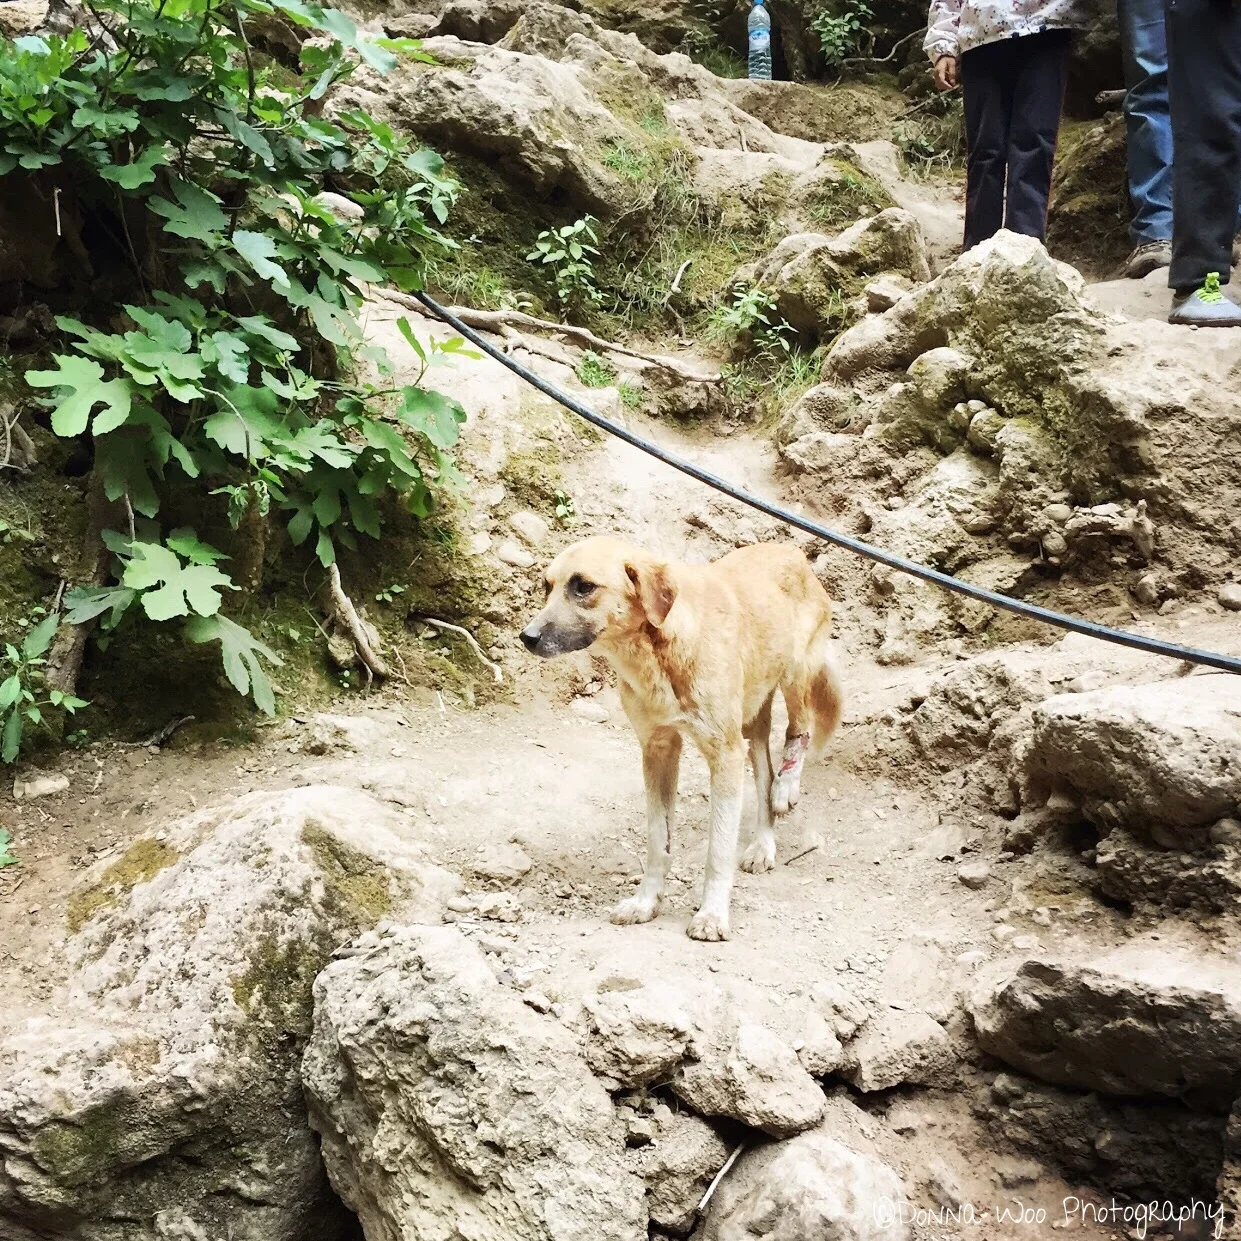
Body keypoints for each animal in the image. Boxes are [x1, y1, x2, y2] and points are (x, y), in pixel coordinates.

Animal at [520, 536, 842, 941]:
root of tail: (790, 550)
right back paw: (763, 844)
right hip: (750, 721)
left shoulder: (724, 754)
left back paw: (787, 787)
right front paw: (646, 903)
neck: (658, 653)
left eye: (584, 587)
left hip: (795, 673)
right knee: (765, 774)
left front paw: (713, 915)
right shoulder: (658, 749)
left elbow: (718, 849)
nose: (527, 637)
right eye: (546, 587)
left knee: (799, 729)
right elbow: (658, 841)